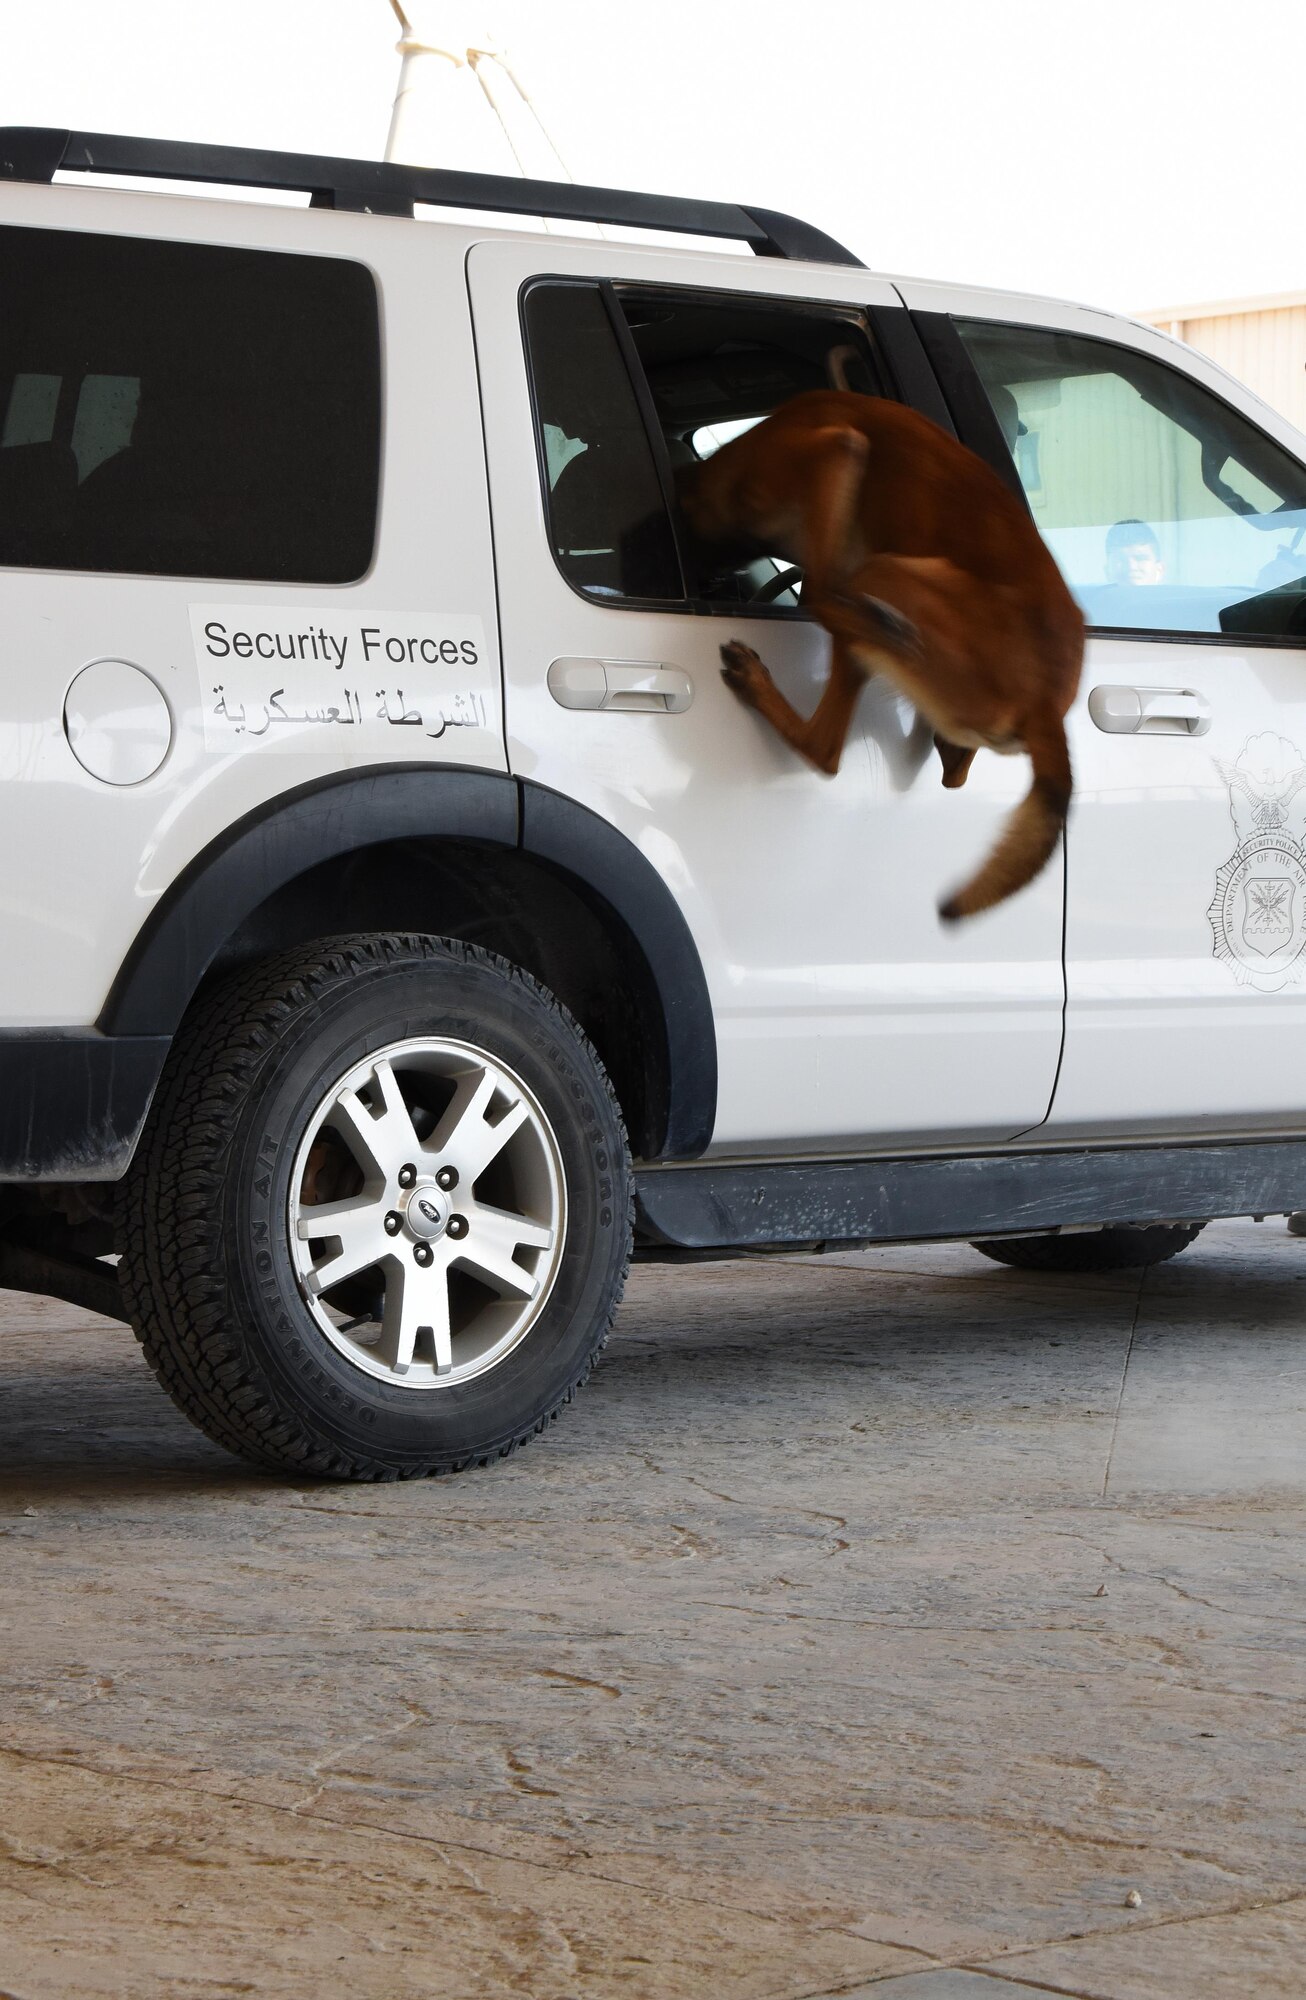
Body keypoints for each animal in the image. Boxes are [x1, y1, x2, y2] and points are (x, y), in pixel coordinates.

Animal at [676, 390, 1088, 920]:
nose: (711, 580)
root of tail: (1044, 706)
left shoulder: (833, 451)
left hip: (886, 572)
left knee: (824, 721)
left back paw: (767, 671)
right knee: (941, 770)